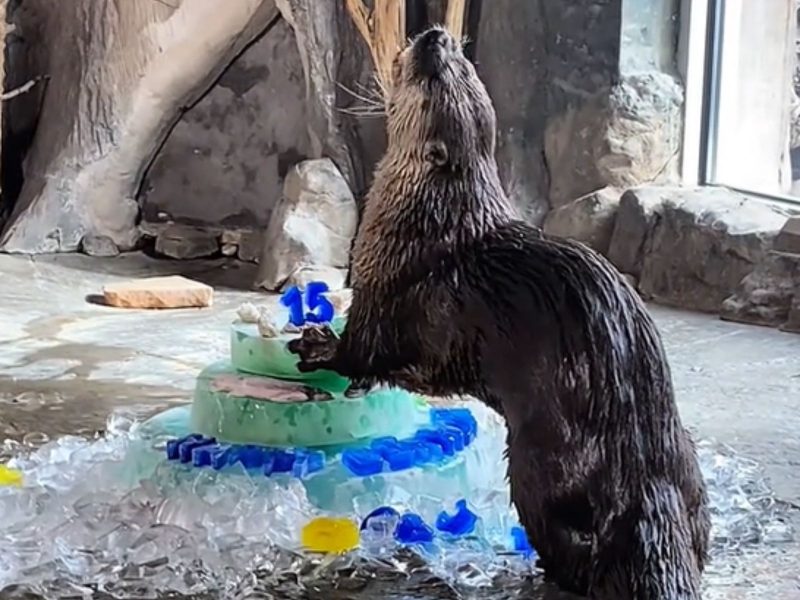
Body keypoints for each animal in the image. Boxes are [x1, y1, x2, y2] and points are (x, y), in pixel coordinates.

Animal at [286, 25, 708, 596]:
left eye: (437, 75)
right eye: (465, 64)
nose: (436, 35)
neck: (424, 218)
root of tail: (646, 484)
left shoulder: (383, 291)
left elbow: (362, 353)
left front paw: (316, 344)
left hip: (537, 459)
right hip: (684, 457)